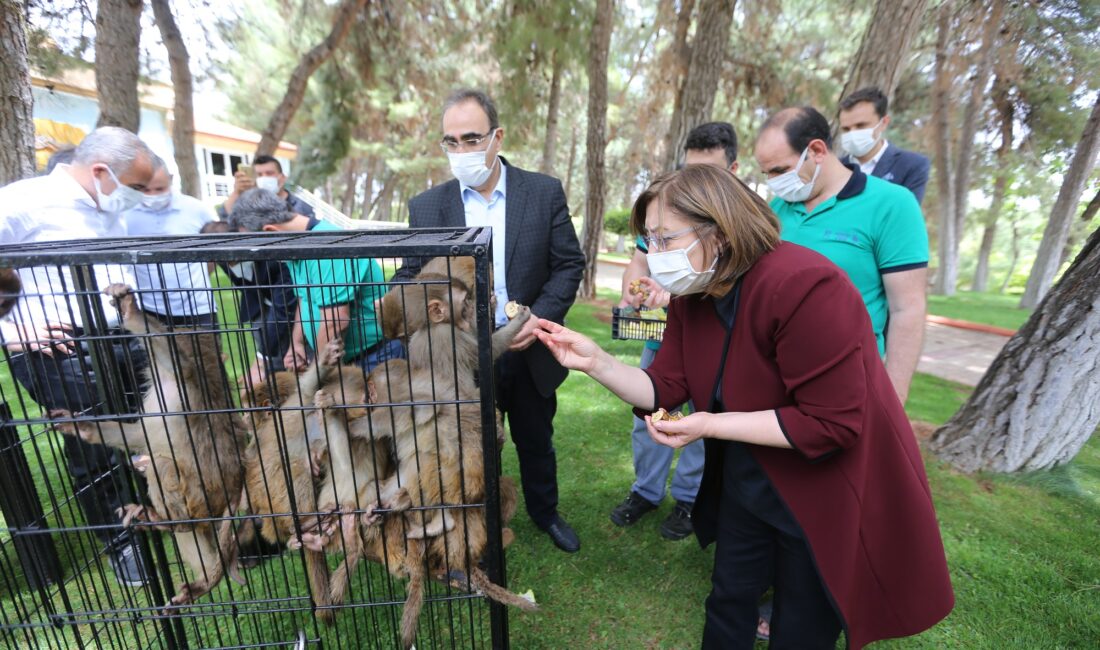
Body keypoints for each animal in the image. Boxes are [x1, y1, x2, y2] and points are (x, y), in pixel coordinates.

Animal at [51, 285, 247, 611]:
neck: (165, 384)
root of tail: (233, 489)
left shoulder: (187, 386)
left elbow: (180, 365)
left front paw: (131, 312)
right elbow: (136, 434)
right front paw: (82, 427)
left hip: (200, 494)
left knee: (162, 467)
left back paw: (170, 522)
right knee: (191, 528)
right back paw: (206, 578)